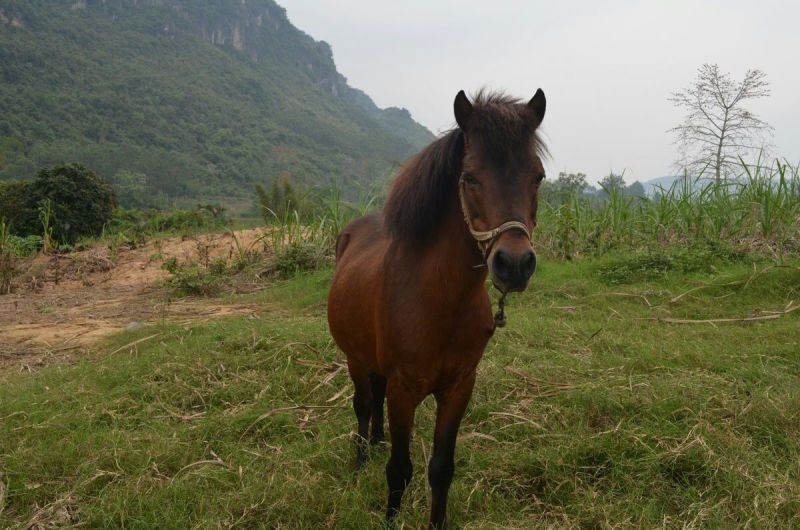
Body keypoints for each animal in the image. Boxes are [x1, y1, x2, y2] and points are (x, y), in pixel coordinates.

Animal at [327, 88, 547, 528]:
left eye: (538, 176)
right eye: (470, 177)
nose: (514, 264)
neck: (441, 301)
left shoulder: (459, 386)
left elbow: (441, 468)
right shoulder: (404, 388)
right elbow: (399, 469)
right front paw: (390, 517)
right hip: (355, 358)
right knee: (363, 405)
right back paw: (361, 460)